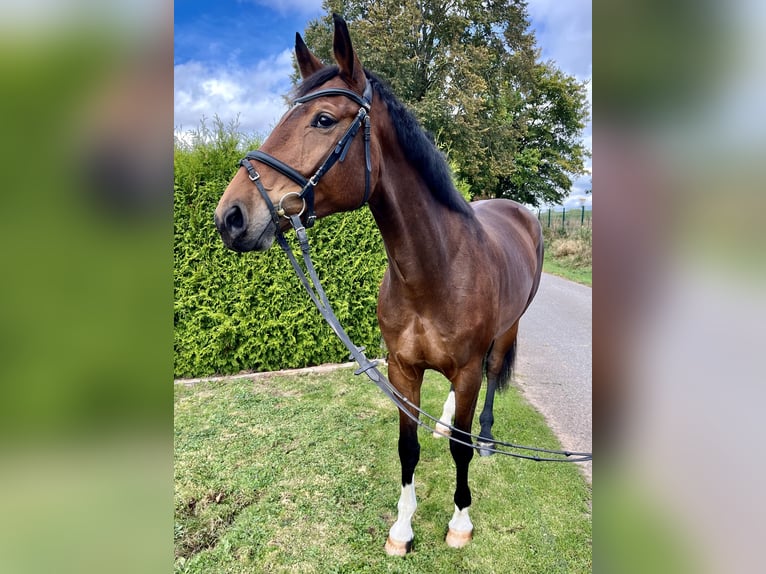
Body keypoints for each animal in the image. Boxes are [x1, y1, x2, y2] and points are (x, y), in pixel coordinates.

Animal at [213, 14, 544, 560]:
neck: (434, 271)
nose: (231, 216)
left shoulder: (466, 369)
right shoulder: (401, 369)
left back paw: (488, 437)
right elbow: (407, 447)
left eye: (324, 120)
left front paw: (460, 521)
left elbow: (459, 447)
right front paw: (403, 529)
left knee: (493, 380)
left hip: (510, 329)